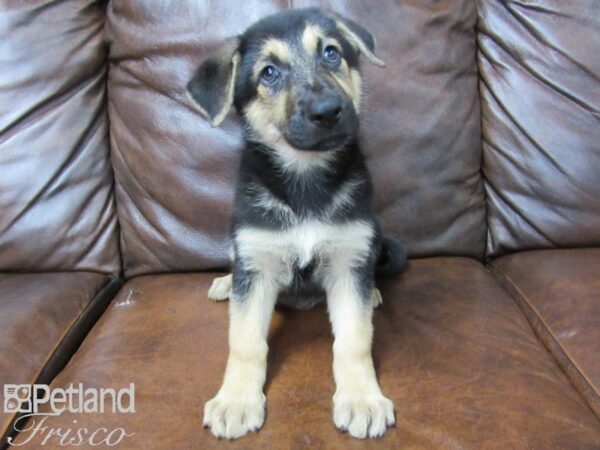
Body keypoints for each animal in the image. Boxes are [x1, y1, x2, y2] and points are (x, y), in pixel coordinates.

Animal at [188, 7, 406, 440]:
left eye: (331, 53)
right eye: (269, 73)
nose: (328, 111)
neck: (305, 181)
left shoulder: (348, 259)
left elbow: (355, 339)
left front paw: (362, 399)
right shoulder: (256, 263)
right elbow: (244, 341)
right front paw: (236, 401)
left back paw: (374, 291)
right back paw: (225, 283)